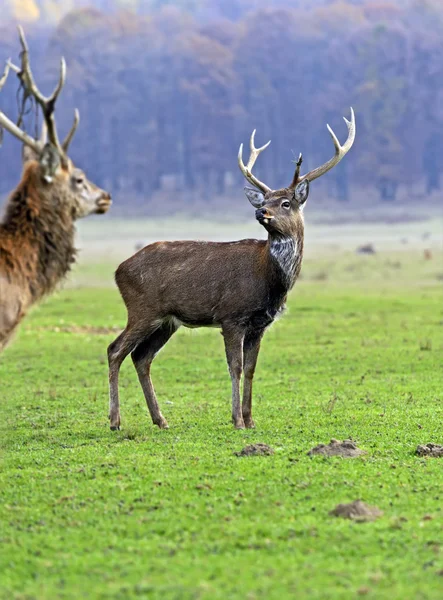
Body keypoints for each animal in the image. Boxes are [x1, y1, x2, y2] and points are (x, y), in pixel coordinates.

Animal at [108, 108, 358, 432]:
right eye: (265, 200)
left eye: (286, 203)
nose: (261, 211)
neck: (270, 282)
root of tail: (118, 270)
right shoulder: (231, 316)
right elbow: (235, 368)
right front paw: (237, 419)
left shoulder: (260, 324)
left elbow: (251, 369)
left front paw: (251, 419)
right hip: (142, 309)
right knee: (115, 350)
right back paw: (115, 421)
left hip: (166, 320)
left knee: (141, 357)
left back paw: (160, 420)